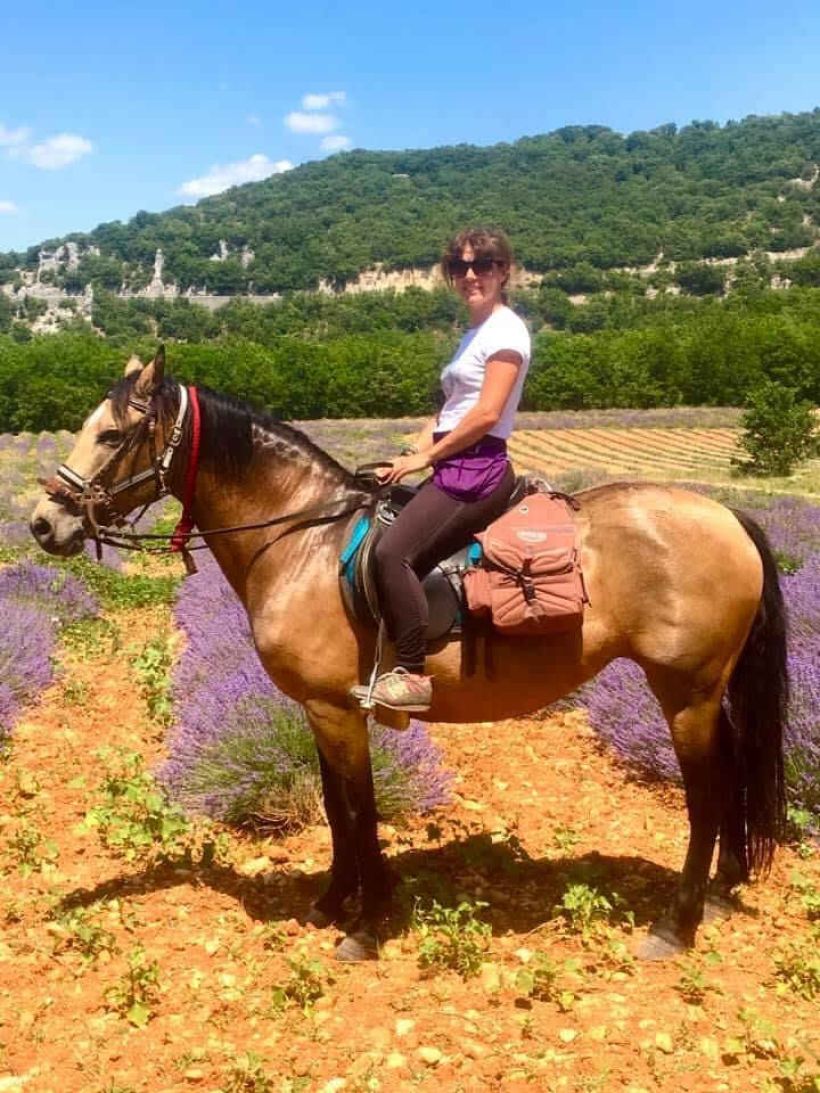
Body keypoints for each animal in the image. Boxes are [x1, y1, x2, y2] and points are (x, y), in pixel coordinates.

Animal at [30, 350, 788, 962]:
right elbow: (335, 808)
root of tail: (728, 516)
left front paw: (367, 925)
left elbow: (361, 811)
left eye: (112, 433)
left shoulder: (339, 711)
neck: (302, 539)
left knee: (708, 793)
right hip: (703, 692)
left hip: (685, 690)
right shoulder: (319, 710)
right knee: (731, 778)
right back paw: (719, 891)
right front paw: (331, 903)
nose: (43, 522)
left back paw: (676, 924)